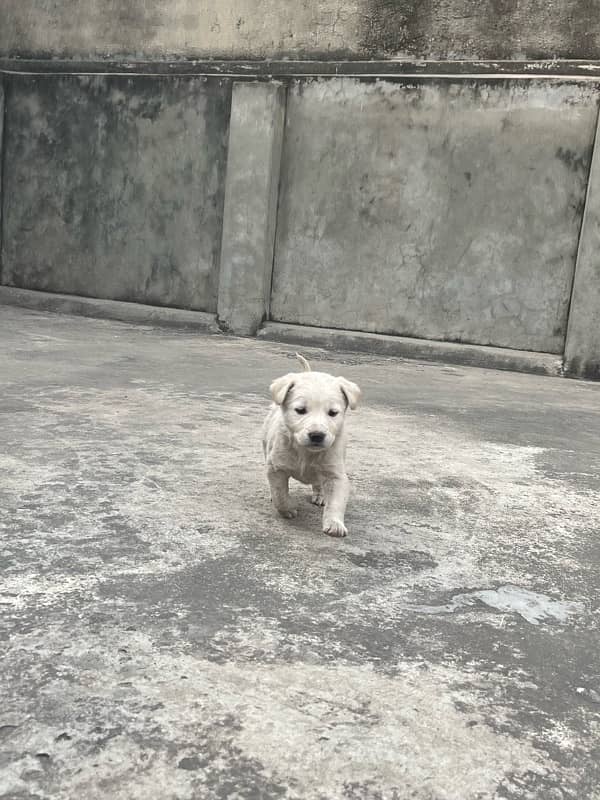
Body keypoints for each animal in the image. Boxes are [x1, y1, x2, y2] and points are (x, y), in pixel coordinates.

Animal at [262, 354, 360, 536]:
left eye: (333, 413)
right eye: (300, 410)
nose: (317, 435)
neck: (306, 452)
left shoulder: (336, 473)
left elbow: (336, 501)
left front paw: (335, 524)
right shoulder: (276, 467)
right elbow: (279, 494)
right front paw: (288, 509)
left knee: (318, 483)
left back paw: (320, 495)